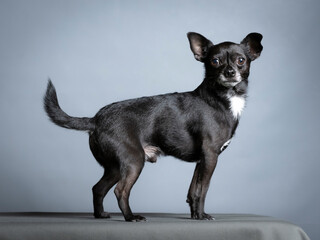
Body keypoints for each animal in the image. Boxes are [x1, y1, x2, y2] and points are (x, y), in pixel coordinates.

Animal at [43, 31, 262, 221]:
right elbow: (203, 190)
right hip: (133, 161)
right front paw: (201, 216)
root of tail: (96, 118)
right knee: (120, 190)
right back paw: (130, 217)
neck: (223, 98)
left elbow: (193, 191)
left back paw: (101, 215)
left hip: (114, 166)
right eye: (215, 61)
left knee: (98, 188)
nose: (229, 72)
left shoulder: (201, 160)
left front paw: (195, 216)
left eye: (241, 60)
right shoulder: (210, 156)